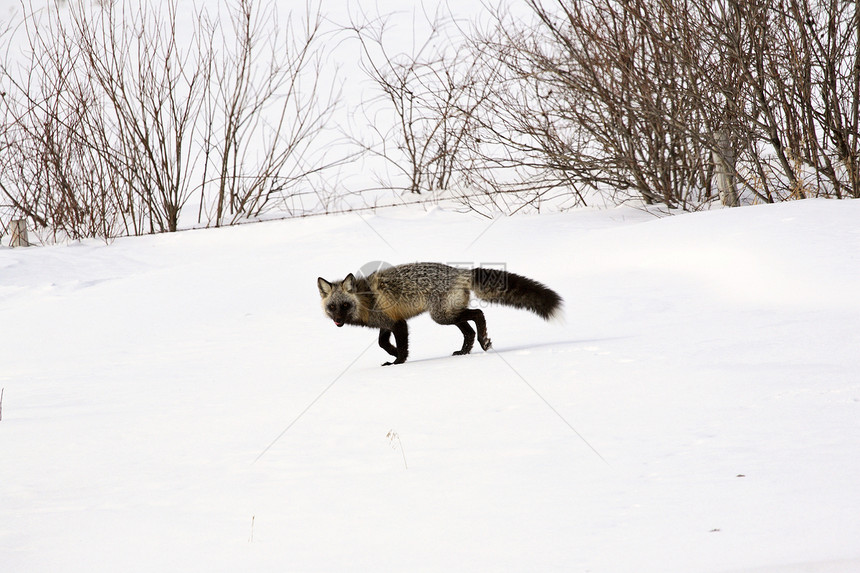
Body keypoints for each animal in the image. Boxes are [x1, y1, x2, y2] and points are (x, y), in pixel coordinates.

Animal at [316, 262, 564, 364]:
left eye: (345, 306)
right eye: (332, 307)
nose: (338, 321)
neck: (367, 299)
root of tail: (460, 271)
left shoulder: (399, 324)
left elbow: (400, 347)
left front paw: (398, 362)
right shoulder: (387, 323)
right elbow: (382, 343)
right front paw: (393, 353)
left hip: (441, 317)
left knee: (478, 314)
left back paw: (484, 342)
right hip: (448, 314)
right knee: (468, 330)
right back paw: (465, 351)